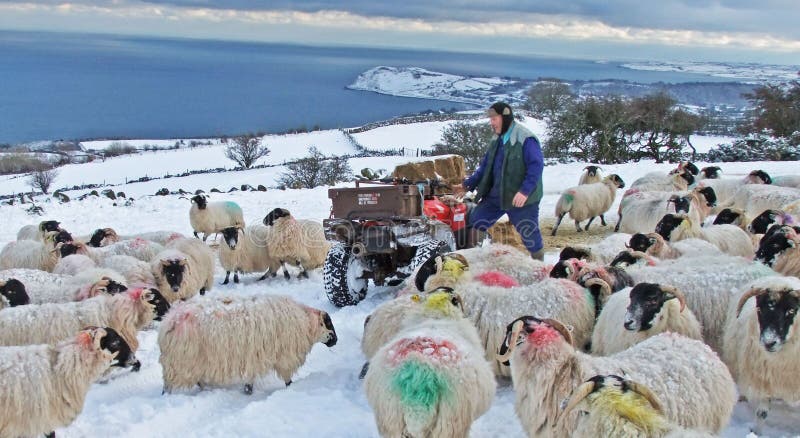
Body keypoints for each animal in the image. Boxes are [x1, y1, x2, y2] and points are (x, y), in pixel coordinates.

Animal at [158, 293, 336, 394]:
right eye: (328, 323)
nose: (336, 341)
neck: (306, 322)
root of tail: (169, 322)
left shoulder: (254, 355)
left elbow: (251, 377)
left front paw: (247, 389)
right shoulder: (284, 356)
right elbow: (287, 379)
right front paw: (290, 388)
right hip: (181, 361)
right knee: (168, 385)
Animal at [722, 276, 800, 434]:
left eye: (791, 310)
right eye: (759, 309)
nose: (769, 342)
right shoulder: (764, 379)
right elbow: (762, 413)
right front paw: (756, 432)